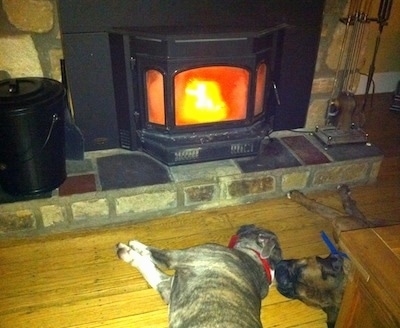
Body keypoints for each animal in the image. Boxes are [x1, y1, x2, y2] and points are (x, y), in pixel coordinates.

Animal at [117, 226, 282, 328]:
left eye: (253, 228)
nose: (243, 226)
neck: (260, 262)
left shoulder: (177, 257)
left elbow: (154, 253)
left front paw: (135, 246)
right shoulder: (167, 286)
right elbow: (148, 268)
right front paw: (129, 253)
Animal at [276, 184, 390, 328]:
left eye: (297, 294)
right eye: (300, 269)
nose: (281, 276)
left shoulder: (341, 221)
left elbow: (319, 207)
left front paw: (298, 197)